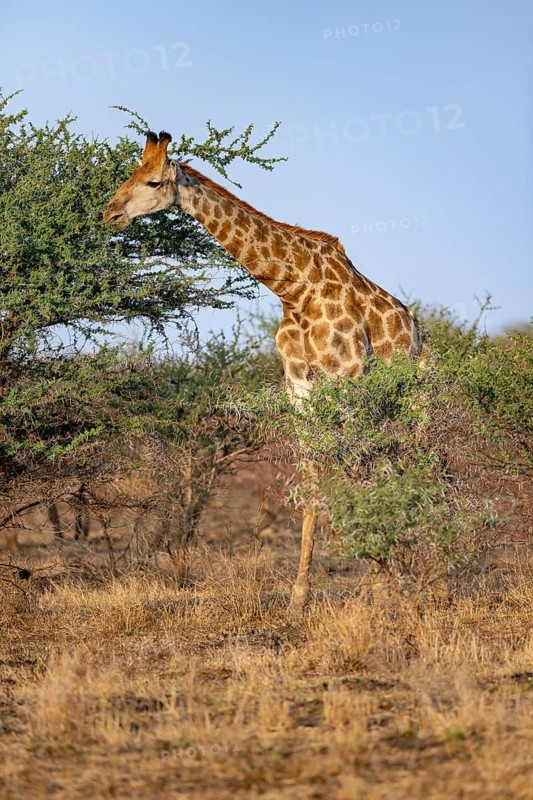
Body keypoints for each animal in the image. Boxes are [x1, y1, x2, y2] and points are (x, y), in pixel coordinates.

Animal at [103, 131, 426, 613]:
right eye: (131, 174)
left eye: (154, 181)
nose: (109, 214)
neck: (295, 289)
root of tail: (417, 330)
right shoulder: (301, 390)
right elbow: (313, 484)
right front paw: (300, 596)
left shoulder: (346, 378)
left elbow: (348, 476)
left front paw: (380, 581)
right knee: (387, 465)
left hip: (397, 395)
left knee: (395, 464)